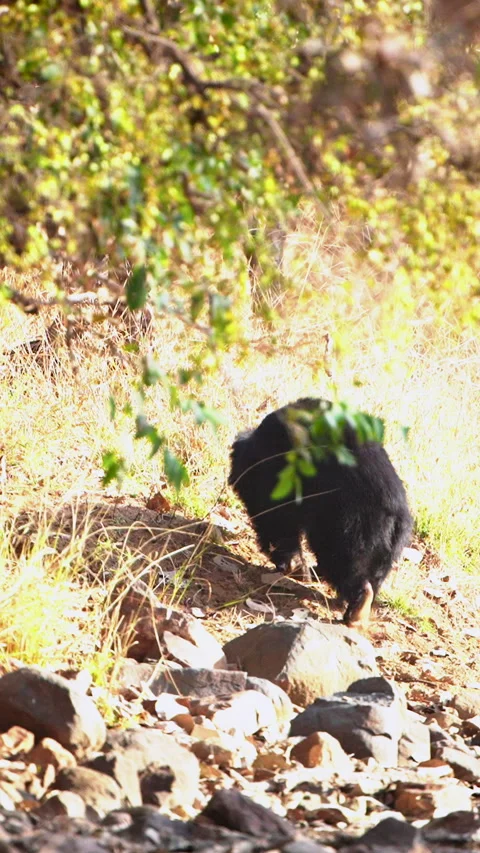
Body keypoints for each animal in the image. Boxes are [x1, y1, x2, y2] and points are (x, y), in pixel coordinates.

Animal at [229, 398, 413, 629]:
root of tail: (397, 514)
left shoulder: (280, 475)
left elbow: (277, 518)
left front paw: (289, 563)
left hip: (349, 523)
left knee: (342, 558)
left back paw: (357, 609)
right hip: (385, 547)